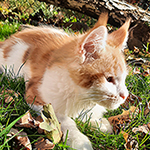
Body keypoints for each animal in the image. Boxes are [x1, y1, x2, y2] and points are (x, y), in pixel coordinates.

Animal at [0, 13, 129, 150]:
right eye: (109, 79)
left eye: (124, 79)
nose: (125, 96)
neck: (80, 94)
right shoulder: (35, 95)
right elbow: (62, 119)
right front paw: (79, 140)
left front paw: (99, 123)